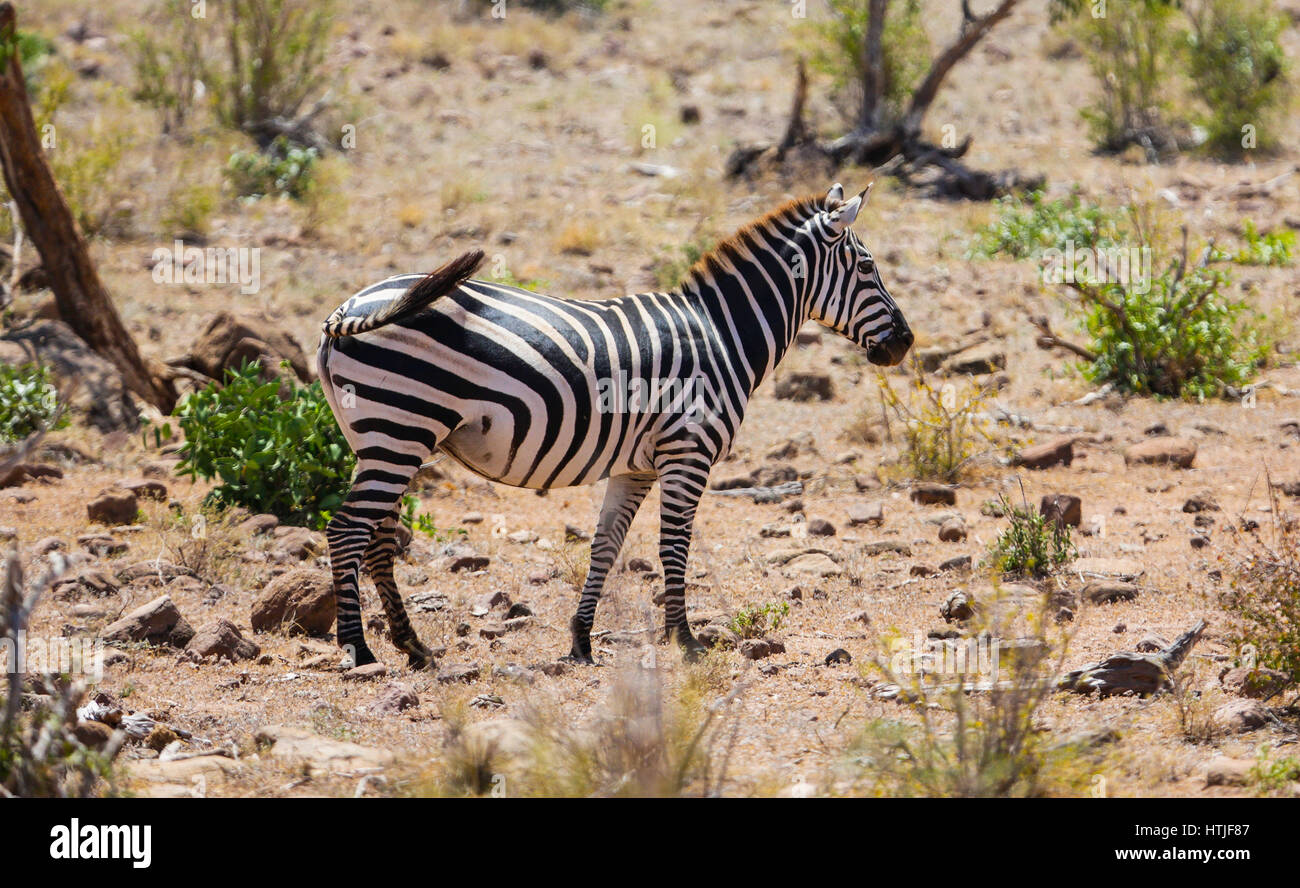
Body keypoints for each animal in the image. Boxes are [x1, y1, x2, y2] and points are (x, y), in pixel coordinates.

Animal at [318, 182, 909, 665]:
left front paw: (581, 639)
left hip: (387, 438)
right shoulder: (687, 453)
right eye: (867, 269)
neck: (722, 333)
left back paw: (411, 645)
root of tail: (346, 308)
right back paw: (359, 648)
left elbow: (606, 544)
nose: (905, 343)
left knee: (377, 537)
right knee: (348, 530)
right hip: (399, 429)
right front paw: (684, 639)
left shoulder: (637, 466)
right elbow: (673, 546)